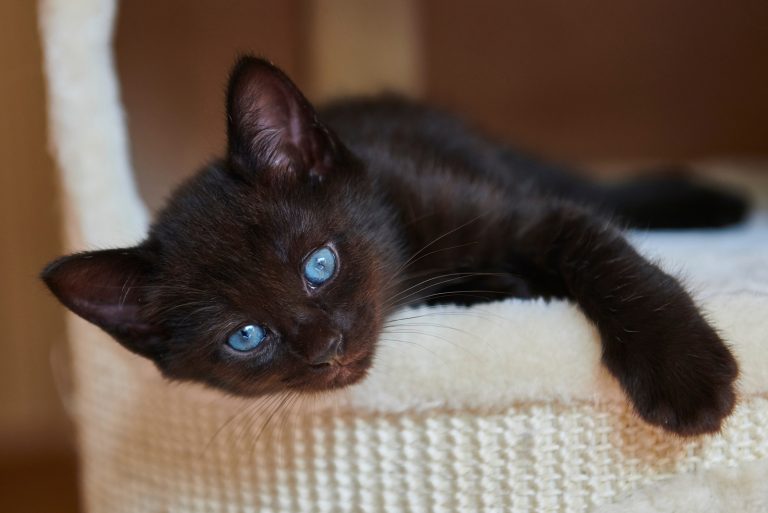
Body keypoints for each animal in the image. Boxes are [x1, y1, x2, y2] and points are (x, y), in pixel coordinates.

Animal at [43, 56, 744, 434]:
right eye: (244, 337)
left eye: (319, 264)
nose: (326, 348)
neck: (409, 260)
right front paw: (502, 284)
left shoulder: (522, 214)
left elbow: (604, 253)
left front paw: (683, 370)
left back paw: (716, 201)